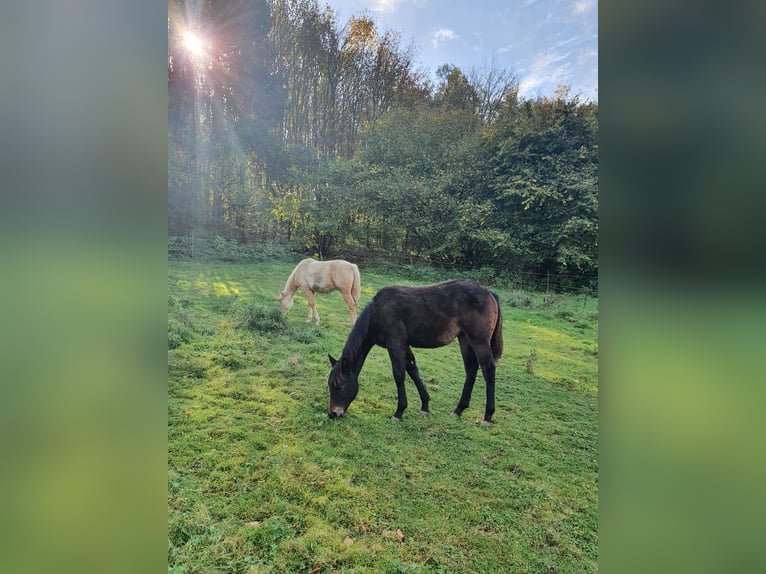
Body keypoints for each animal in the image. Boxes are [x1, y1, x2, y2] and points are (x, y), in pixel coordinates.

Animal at [328, 282, 504, 426]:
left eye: (340, 386)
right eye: (330, 385)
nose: (332, 413)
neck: (378, 313)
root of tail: (489, 293)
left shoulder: (396, 345)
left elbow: (399, 375)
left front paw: (399, 412)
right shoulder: (405, 345)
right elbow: (413, 370)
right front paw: (425, 405)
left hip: (479, 341)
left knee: (489, 371)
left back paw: (487, 416)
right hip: (464, 339)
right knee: (471, 370)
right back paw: (459, 409)